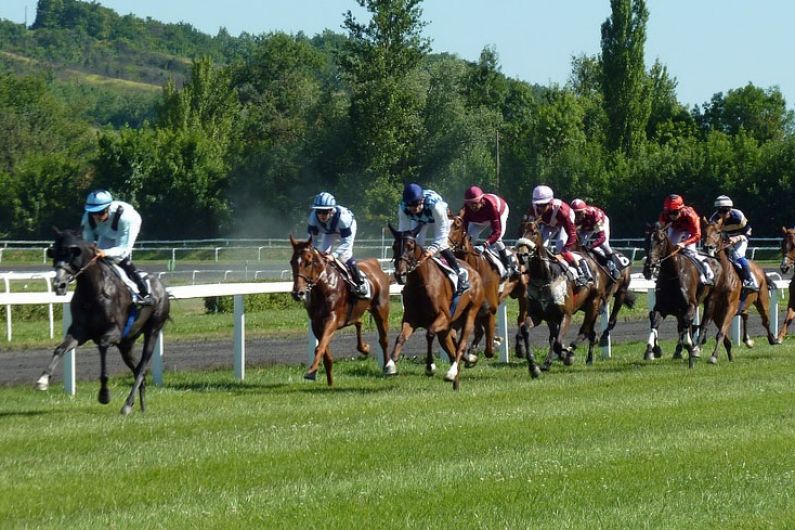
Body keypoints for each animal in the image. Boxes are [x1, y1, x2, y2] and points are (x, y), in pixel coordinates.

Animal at [36, 227, 171, 412]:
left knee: (142, 368)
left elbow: (102, 349)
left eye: (72, 254)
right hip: (126, 344)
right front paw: (43, 379)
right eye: (54, 253)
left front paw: (104, 394)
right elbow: (60, 348)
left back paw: (127, 405)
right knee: (138, 370)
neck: (93, 292)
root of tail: (162, 289)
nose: (59, 285)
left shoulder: (113, 333)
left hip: (153, 330)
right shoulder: (79, 331)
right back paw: (141, 406)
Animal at [290, 235, 394, 384]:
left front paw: (311, 371)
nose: (297, 293)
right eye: (292, 262)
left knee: (383, 339)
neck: (325, 285)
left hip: (381, 309)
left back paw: (388, 366)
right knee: (359, 322)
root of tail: (375, 265)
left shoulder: (332, 318)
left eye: (308, 262)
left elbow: (319, 347)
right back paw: (364, 348)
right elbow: (325, 352)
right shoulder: (316, 323)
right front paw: (329, 381)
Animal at [388, 221, 486, 390]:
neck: (420, 283)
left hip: (470, 313)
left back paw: (452, 372)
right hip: (447, 330)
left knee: (461, 345)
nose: (400, 274)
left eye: (410, 245)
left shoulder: (443, 317)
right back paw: (456, 380)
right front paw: (390, 364)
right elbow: (401, 337)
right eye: (394, 246)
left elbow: (429, 333)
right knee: (453, 351)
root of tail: (474, 272)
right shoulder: (411, 319)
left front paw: (430, 367)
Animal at [640, 221, 732, 366]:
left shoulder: (690, 305)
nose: (649, 267)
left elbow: (687, 323)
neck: (673, 273)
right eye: (646, 241)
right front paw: (651, 350)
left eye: (660, 241)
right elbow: (654, 322)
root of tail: (715, 259)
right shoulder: (662, 307)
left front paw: (689, 344)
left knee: (704, 322)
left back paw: (696, 349)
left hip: (711, 299)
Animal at [704, 218, 780, 346]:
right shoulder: (715, 308)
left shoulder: (730, 307)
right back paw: (747, 339)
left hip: (762, 298)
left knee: (765, 320)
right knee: (745, 314)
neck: (725, 276)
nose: (708, 247)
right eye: (704, 231)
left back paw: (772, 339)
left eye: (718, 232)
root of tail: (760, 269)